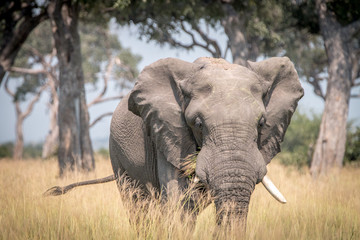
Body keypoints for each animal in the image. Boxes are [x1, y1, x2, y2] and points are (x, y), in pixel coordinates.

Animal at [45, 57, 304, 226]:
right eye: (198, 123)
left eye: (261, 123)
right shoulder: (168, 134)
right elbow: (179, 203)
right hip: (116, 154)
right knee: (138, 206)